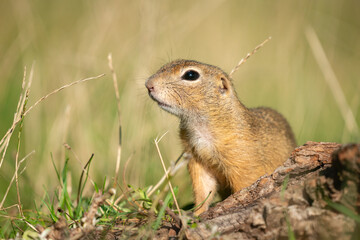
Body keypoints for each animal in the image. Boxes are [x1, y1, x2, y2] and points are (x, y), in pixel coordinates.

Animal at [145, 59, 296, 215]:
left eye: (191, 75)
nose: (148, 85)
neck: (199, 125)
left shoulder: (242, 160)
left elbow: (245, 184)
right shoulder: (197, 161)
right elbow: (203, 190)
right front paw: (196, 214)